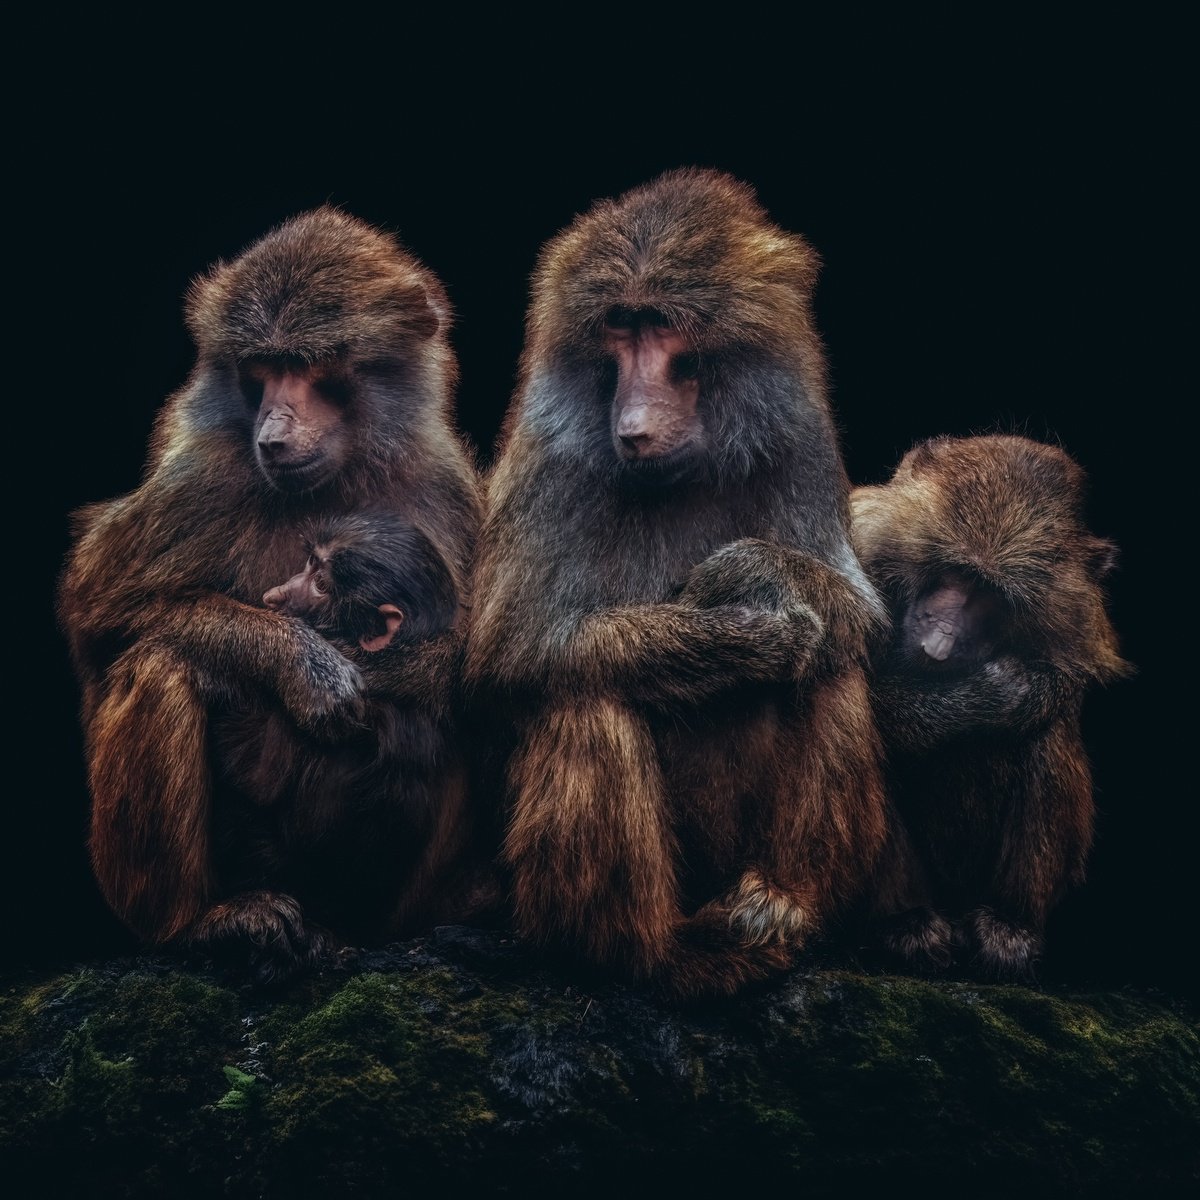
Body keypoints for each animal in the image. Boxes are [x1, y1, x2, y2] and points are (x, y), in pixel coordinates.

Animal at [58, 207, 483, 979]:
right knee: (160, 663)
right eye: (263, 371)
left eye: (311, 370)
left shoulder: (443, 483)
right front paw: (301, 662)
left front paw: (396, 667)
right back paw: (201, 924)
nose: (273, 435)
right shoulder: (202, 476)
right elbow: (101, 617)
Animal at [465, 168, 889, 998]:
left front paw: (755, 574)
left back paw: (781, 906)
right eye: (619, 330)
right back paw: (652, 953)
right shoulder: (552, 456)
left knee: (834, 671)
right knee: (587, 698)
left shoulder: (800, 438)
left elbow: (857, 613)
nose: (631, 419)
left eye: (662, 329)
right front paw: (745, 637)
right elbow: (516, 653)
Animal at [850, 434, 1131, 979]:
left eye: (992, 593)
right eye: (956, 571)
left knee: (1044, 735)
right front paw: (989, 693)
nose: (940, 639)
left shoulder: (1075, 629)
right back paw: (906, 922)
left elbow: (1057, 691)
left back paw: (1008, 925)